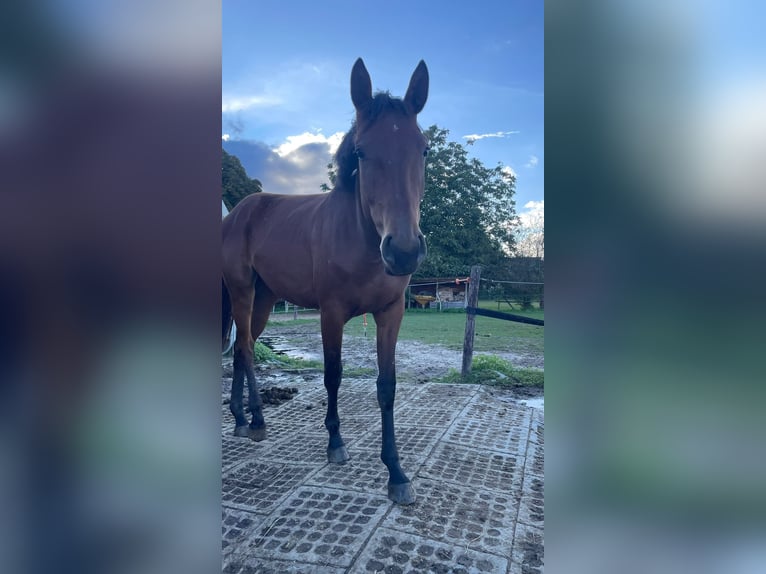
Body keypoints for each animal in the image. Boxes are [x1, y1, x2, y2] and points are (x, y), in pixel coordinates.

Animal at [224, 60, 432, 506]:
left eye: (423, 149)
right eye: (361, 152)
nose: (404, 250)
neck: (361, 240)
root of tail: (236, 213)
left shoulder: (391, 313)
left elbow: (387, 385)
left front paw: (396, 472)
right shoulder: (331, 313)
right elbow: (333, 374)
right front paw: (336, 443)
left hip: (264, 299)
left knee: (242, 348)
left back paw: (240, 418)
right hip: (242, 291)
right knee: (246, 348)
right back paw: (258, 420)